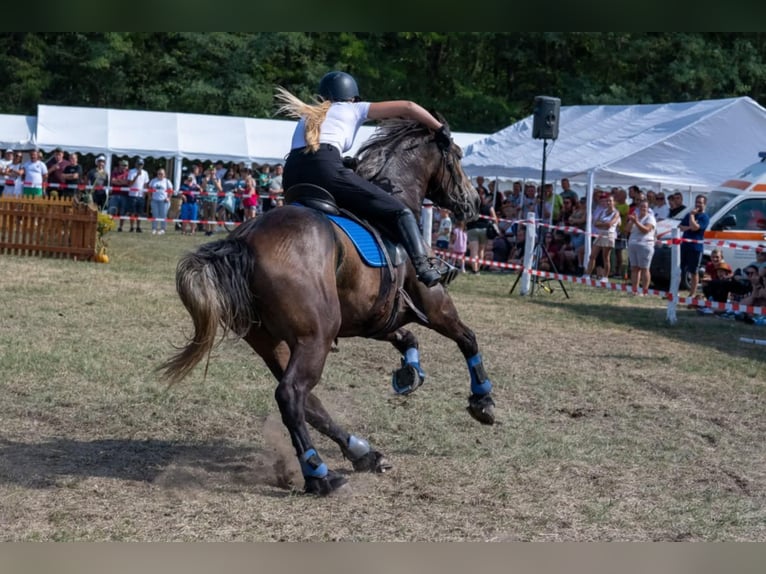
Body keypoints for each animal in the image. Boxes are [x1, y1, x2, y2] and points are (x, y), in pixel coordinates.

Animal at [159, 118, 497, 496]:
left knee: (308, 402)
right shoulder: (434, 305)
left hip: (276, 343)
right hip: (315, 338)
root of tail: (243, 241)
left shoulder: (370, 319)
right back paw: (320, 474)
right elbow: (467, 338)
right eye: (457, 157)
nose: (472, 203)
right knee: (292, 395)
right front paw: (482, 402)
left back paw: (362, 453)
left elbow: (406, 338)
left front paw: (409, 372)